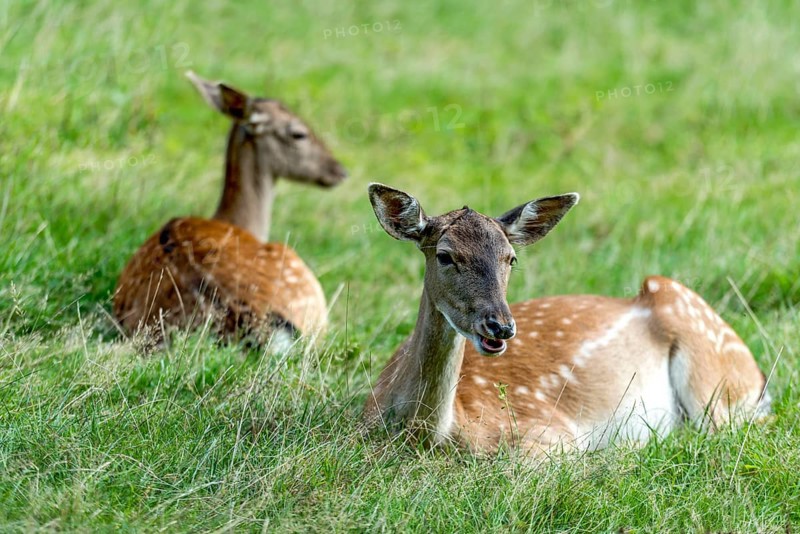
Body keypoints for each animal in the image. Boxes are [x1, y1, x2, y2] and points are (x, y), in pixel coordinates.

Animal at [363, 183, 770, 456]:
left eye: (511, 258)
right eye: (445, 255)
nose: (500, 326)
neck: (436, 435)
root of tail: (758, 375)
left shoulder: (550, 433)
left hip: (714, 381)